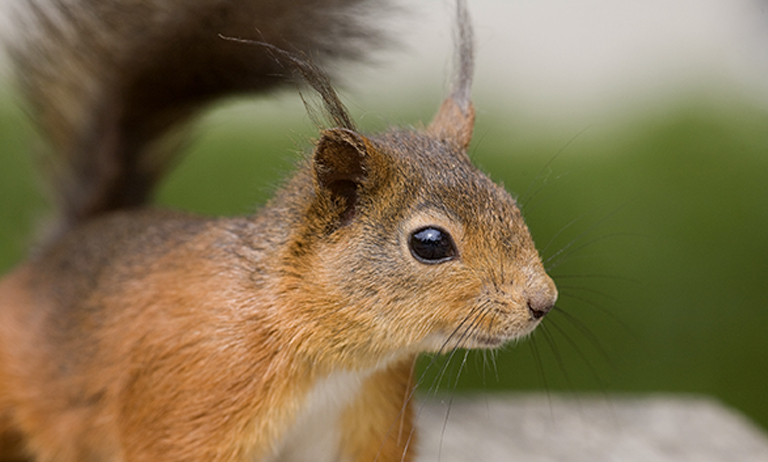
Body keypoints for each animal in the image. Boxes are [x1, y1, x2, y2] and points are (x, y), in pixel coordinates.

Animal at [0, 0, 560, 462]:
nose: (543, 301)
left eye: (509, 202)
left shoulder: (365, 426)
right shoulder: (190, 406)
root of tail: (58, 249)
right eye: (430, 243)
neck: (336, 363)